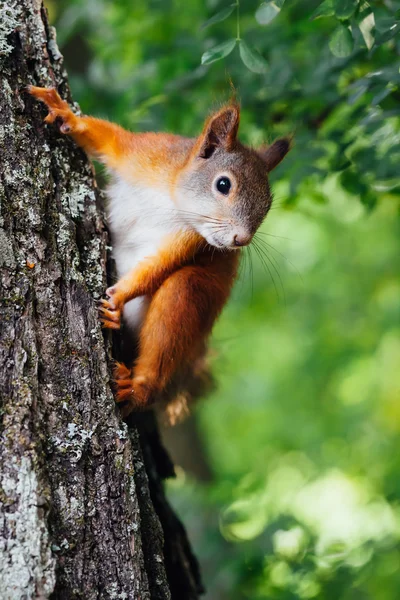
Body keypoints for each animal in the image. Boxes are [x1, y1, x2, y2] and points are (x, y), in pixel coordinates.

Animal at [28, 84, 290, 422]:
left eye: (268, 206)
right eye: (223, 184)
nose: (240, 239)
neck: (172, 197)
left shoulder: (188, 240)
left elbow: (157, 266)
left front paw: (118, 298)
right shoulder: (146, 154)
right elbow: (109, 139)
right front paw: (65, 114)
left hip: (190, 302)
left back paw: (137, 389)